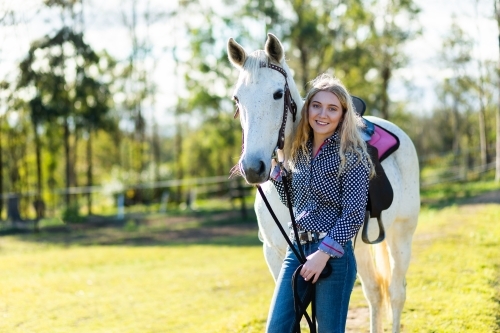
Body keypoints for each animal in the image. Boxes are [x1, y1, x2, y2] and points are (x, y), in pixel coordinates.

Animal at [229, 33, 420, 332]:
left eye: (278, 94)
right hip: (360, 247)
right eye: (237, 98)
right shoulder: (276, 255)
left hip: (401, 235)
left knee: (396, 293)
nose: (252, 168)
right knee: (375, 295)